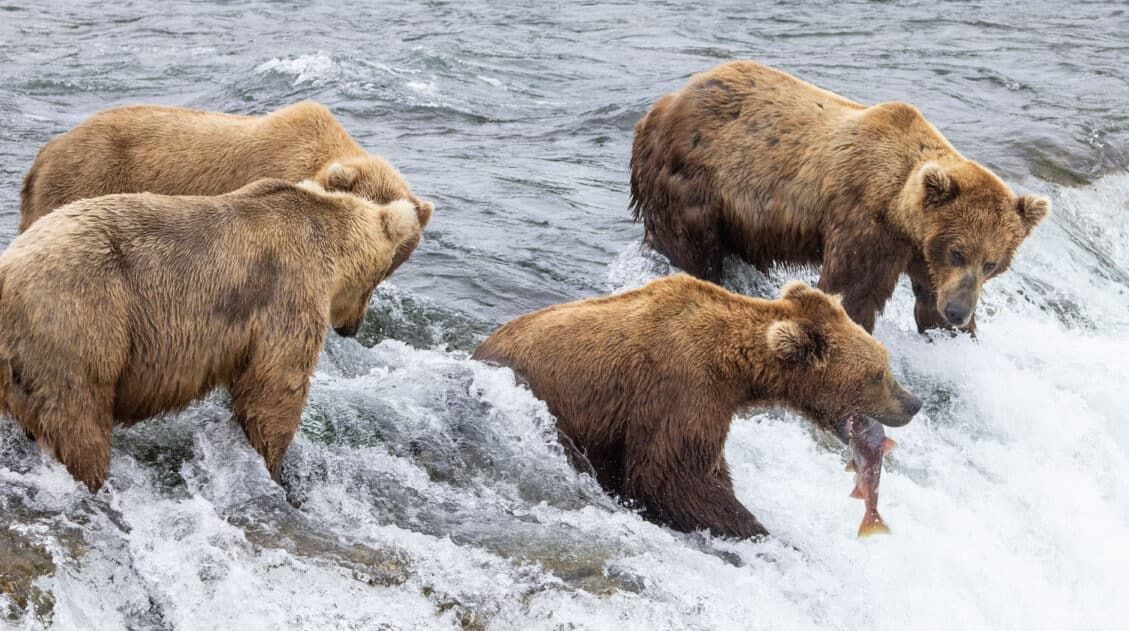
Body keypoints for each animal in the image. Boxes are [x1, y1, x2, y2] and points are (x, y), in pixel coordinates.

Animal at [471, 275, 921, 537]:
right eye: (877, 375)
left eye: (884, 364)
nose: (913, 403)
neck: (737, 369)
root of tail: (479, 351)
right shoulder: (681, 391)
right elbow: (673, 477)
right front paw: (757, 529)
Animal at [627, 61, 1047, 334]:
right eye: (958, 251)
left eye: (991, 262)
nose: (958, 312)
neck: (903, 215)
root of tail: (661, 106)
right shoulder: (867, 224)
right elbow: (852, 291)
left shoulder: (922, 256)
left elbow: (928, 299)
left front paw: (952, 330)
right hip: (692, 183)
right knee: (690, 248)